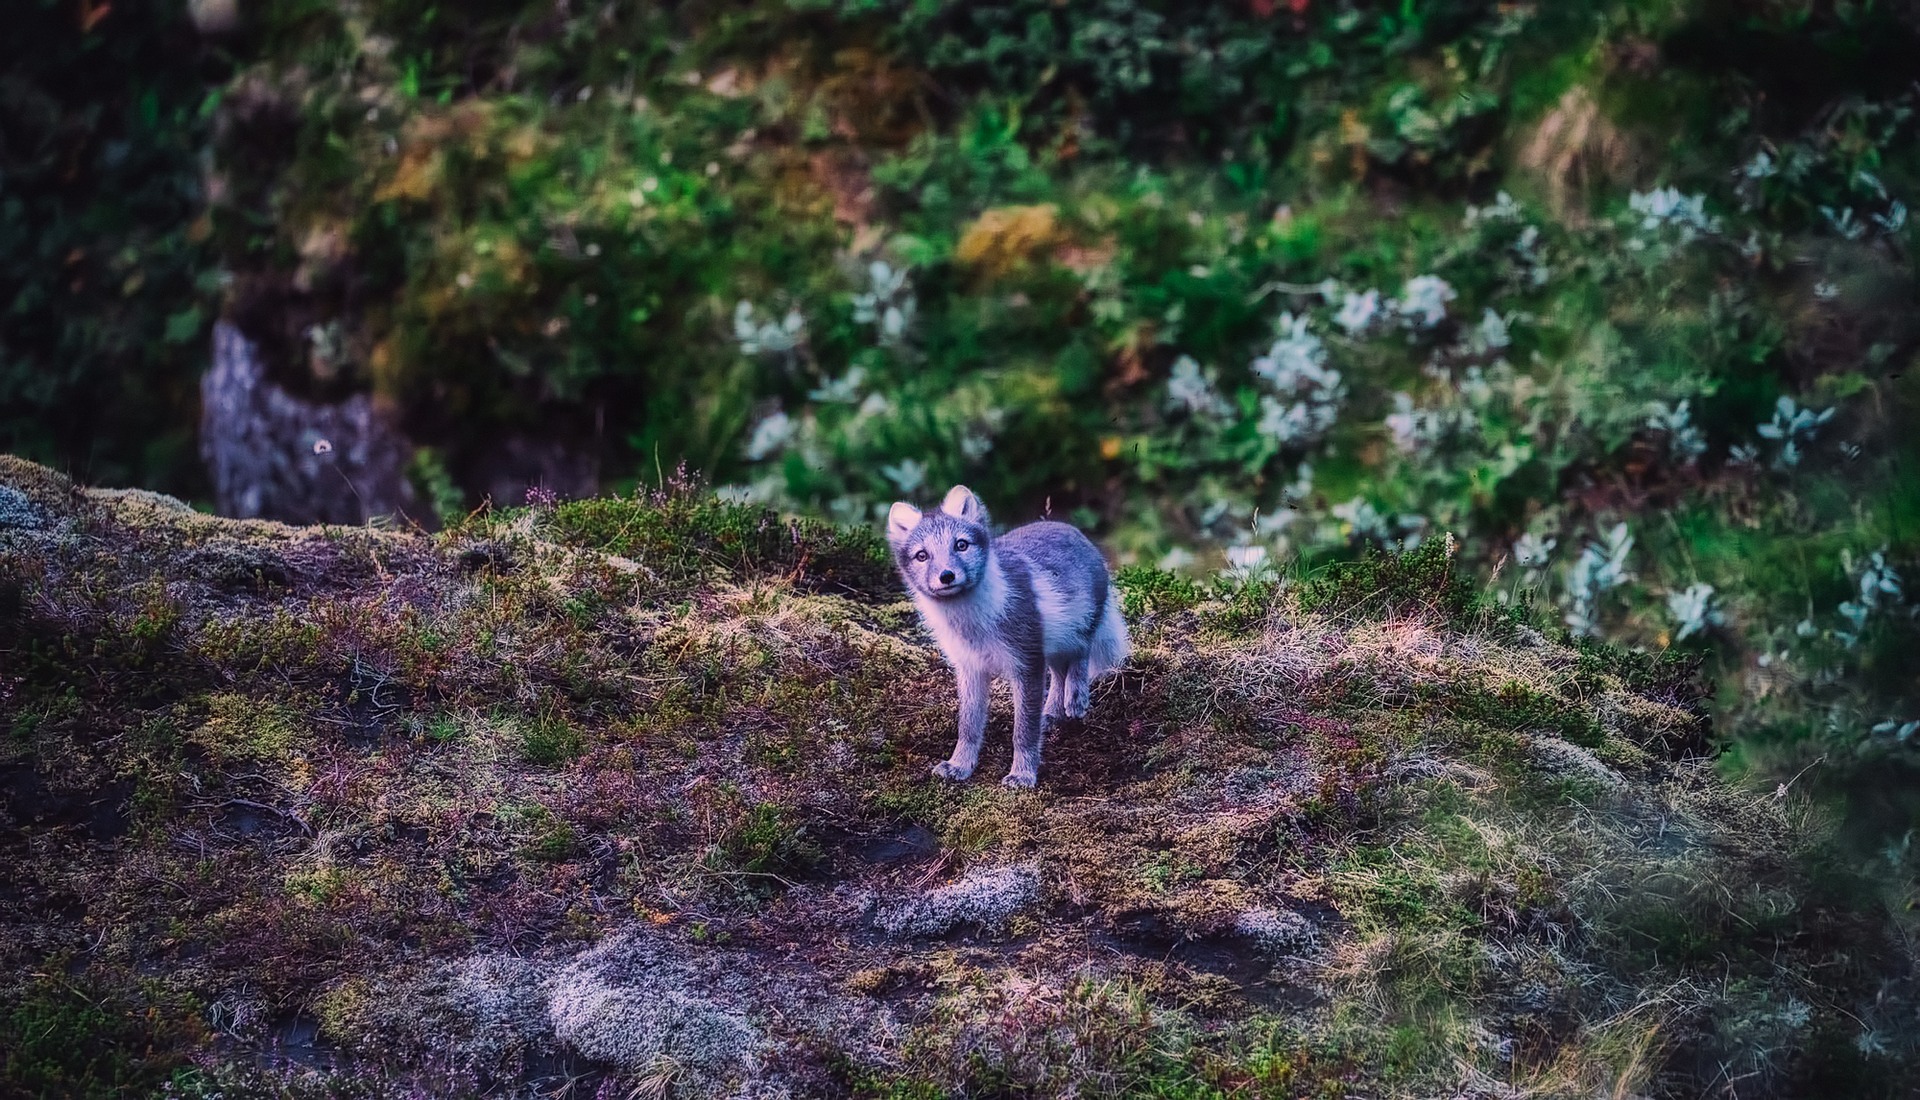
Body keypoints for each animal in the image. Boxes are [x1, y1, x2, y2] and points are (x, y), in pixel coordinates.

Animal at [890, 483, 1128, 783]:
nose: (946, 576)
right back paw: (1051, 713)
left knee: (1080, 653)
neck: (973, 625)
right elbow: (968, 727)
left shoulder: (1026, 663)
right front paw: (959, 765)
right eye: (922, 555)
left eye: (961, 545)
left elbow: (1024, 731)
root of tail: (1070, 529)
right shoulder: (970, 668)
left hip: (1076, 626)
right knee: (1058, 674)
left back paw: (1076, 698)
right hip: (1050, 644)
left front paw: (1023, 775)